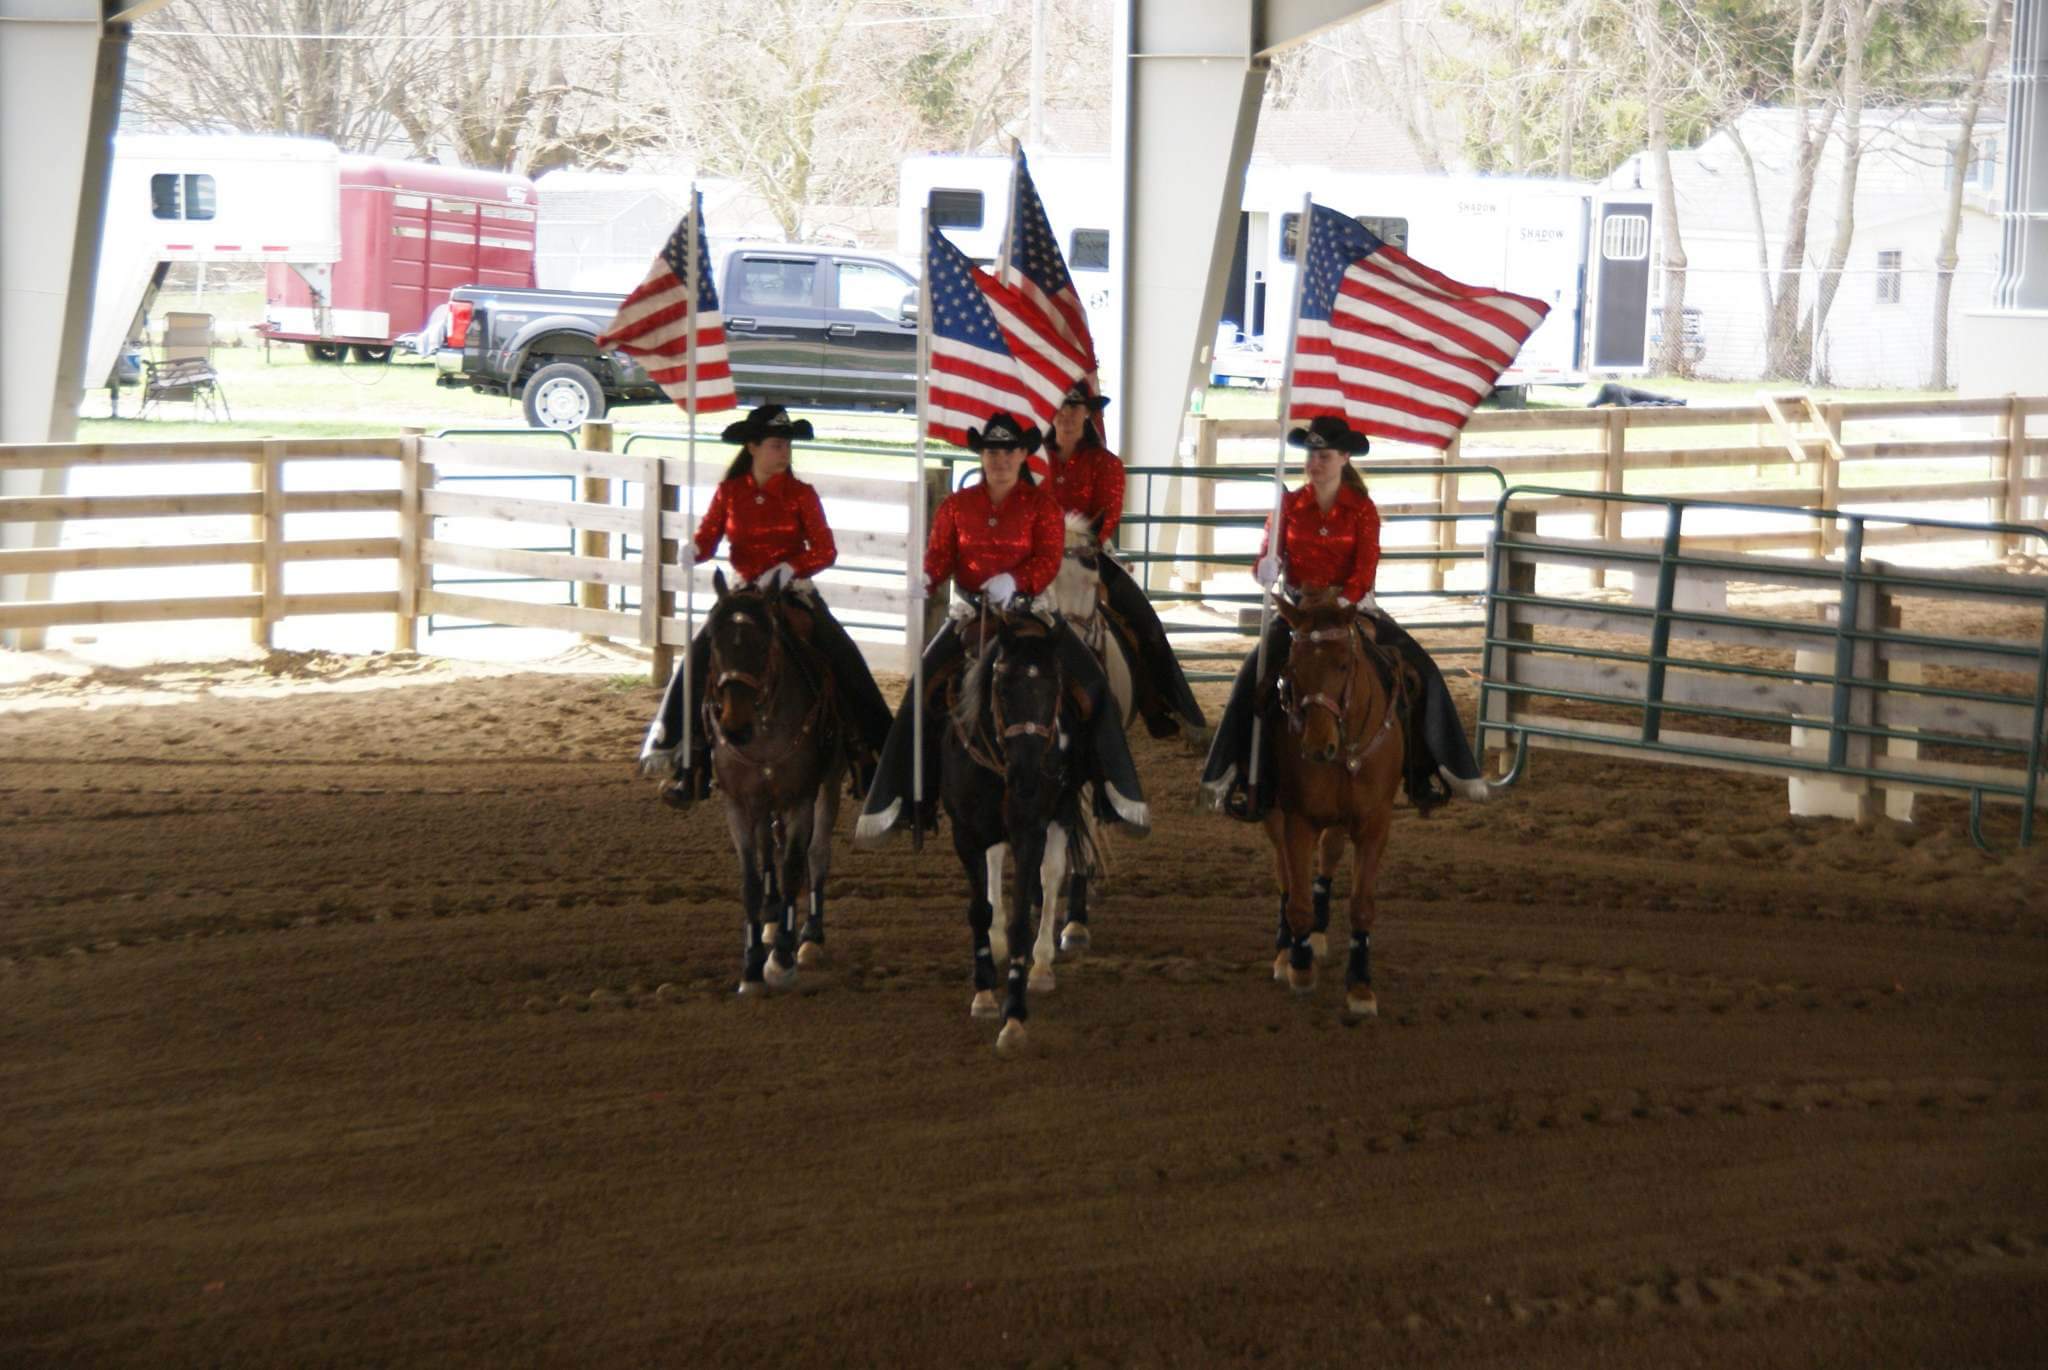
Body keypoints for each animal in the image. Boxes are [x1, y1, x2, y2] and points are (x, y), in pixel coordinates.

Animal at [704, 565, 847, 995]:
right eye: (714, 640)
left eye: (763, 642)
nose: (734, 726)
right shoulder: (737, 803)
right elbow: (751, 879)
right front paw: (751, 966)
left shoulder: (800, 798)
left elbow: (794, 866)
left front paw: (782, 959)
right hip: (763, 803)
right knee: (770, 848)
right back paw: (769, 922)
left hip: (827, 785)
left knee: (817, 854)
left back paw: (810, 937)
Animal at [946, 610, 1097, 1056]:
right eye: (1002, 685)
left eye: (1053, 688)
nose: (1028, 776)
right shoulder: (965, 832)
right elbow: (979, 911)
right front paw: (983, 992)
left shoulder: (1031, 828)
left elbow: (1021, 919)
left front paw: (1013, 1016)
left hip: (1062, 809)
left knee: (1051, 877)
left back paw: (1043, 963)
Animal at [1261, 589, 1409, 1015]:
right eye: (1292, 667)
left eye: (1344, 664)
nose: (1316, 747)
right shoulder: (1296, 819)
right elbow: (1296, 900)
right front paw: (1300, 967)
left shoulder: (1375, 822)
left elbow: (1361, 905)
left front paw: (1359, 986)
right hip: (1276, 815)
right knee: (1284, 873)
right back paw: (1287, 951)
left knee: (1329, 853)